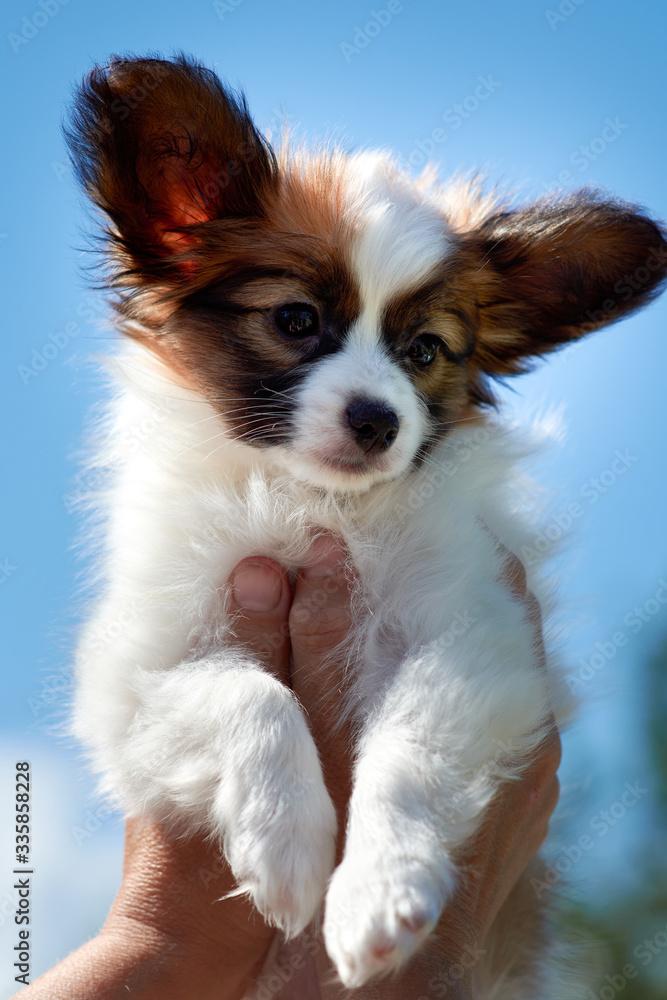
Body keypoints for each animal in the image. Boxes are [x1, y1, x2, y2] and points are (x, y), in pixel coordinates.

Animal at [65, 58, 664, 996]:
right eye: (295, 321)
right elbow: (251, 695)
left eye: (424, 352)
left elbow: (407, 744)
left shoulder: (478, 639)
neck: (315, 503)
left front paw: (379, 893)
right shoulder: (135, 670)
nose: (378, 420)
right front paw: (285, 846)